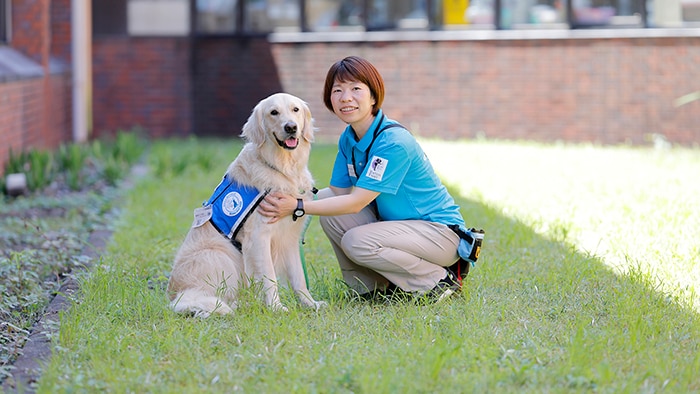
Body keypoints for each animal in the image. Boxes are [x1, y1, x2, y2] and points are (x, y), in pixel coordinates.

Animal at [168, 93, 326, 318]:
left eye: (295, 109)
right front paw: (276, 307)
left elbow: (299, 278)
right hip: (220, 255)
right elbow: (269, 278)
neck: (282, 168)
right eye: (273, 112)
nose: (291, 127)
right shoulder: (258, 238)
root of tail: (175, 297)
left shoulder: (289, 238)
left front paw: (310, 304)